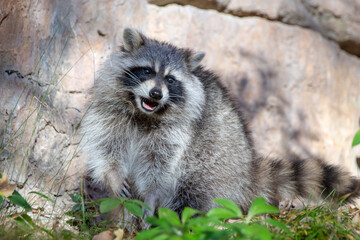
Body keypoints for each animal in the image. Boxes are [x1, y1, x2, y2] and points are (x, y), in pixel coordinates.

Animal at [81, 27, 360, 218]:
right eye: (147, 71)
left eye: (170, 79)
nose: (156, 94)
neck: (145, 114)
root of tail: (248, 171)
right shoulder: (109, 115)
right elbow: (105, 149)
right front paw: (113, 177)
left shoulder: (175, 134)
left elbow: (159, 168)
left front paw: (151, 195)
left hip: (218, 162)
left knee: (194, 186)